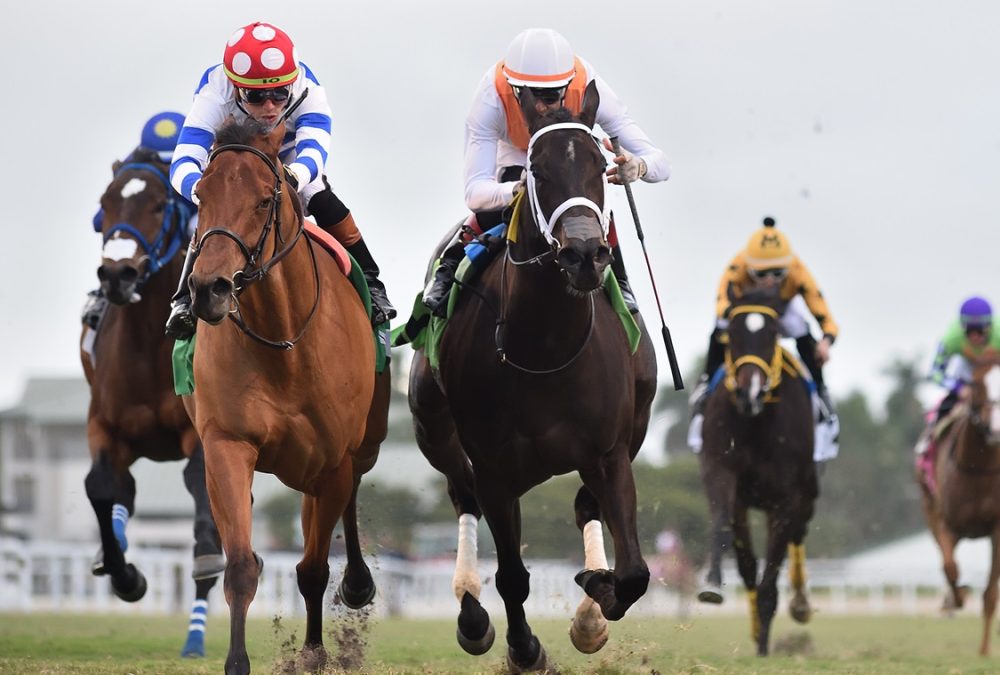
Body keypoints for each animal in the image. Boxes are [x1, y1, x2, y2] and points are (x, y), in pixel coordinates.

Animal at [81, 147, 223, 656]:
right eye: (104, 204)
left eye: (160, 206)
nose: (117, 274)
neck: (145, 345)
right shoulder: (103, 425)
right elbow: (101, 487)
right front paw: (125, 576)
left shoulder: (199, 429)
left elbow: (202, 498)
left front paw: (206, 558)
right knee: (122, 492)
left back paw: (196, 639)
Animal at [186, 117, 388, 675]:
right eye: (200, 195)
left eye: (262, 200)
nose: (208, 289)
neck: (284, 342)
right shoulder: (227, 444)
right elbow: (240, 566)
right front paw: (237, 661)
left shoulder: (334, 461)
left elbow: (314, 569)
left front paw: (315, 653)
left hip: (358, 448)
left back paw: (358, 583)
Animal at [406, 82, 656, 672]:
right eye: (536, 170)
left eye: (601, 165)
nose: (585, 253)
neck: (546, 349)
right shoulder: (496, 468)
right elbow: (513, 577)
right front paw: (525, 649)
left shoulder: (610, 452)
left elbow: (634, 573)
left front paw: (595, 597)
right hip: (434, 432)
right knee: (463, 496)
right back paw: (471, 612)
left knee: (585, 506)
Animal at [696, 290, 820, 656]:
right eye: (732, 335)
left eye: (772, 334)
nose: (748, 393)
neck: (756, 423)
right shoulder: (722, 473)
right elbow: (731, 538)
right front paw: (712, 584)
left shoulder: (786, 498)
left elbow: (771, 574)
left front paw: (764, 647)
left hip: (807, 494)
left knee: (797, 537)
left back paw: (800, 603)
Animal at [916, 348, 1000, 656]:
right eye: (976, 384)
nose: (996, 427)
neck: (978, 468)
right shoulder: (945, 522)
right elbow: (950, 567)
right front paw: (957, 597)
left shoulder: (997, 529)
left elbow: (990, 593)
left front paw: (985, 649)